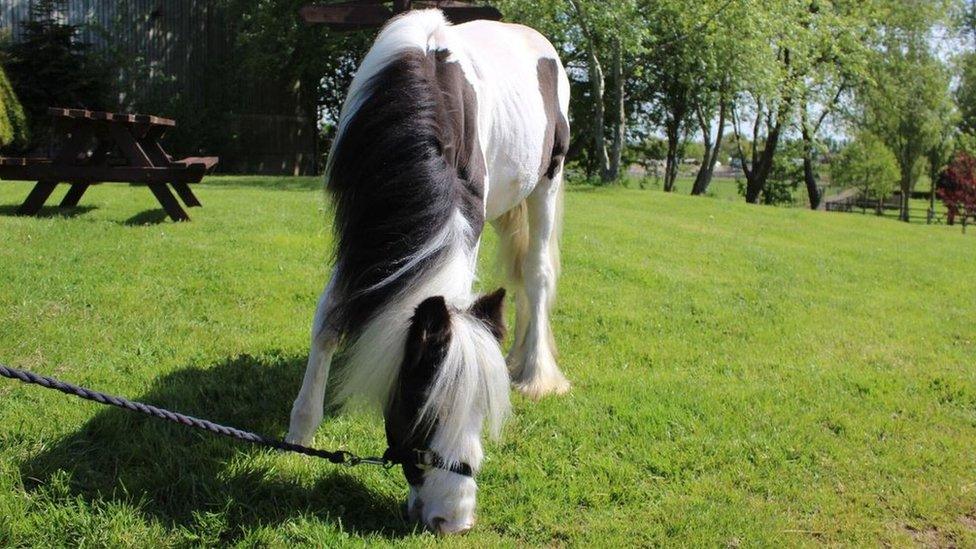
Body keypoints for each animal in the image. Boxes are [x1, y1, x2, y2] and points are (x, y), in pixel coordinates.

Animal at [286, 10, 568, 532]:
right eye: (425, 413)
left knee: (536, 275)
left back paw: (535, 374)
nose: (453, 519)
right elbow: (329, 320)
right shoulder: (360, 230)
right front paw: (300, 434)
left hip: (548, 180)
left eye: (480, 415)